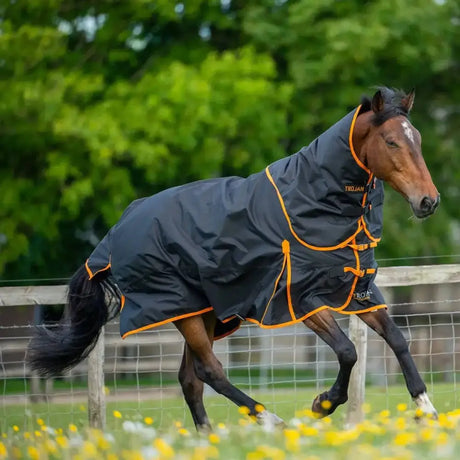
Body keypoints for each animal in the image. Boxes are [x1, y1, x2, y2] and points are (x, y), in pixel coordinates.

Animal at [27, 88, 438, 430]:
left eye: (418, 139)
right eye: (391, 141)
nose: (428, 202)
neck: (313, 203)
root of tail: (115, 232)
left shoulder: (356, 290)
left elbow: (397, 338)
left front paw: (427, 409)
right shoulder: (300, 300)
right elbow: (348, 351)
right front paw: (322, 404)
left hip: (203, 313)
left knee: (190, 379)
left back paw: (208, 437)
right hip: (185, 314)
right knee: (210, 371)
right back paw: (270, 420)